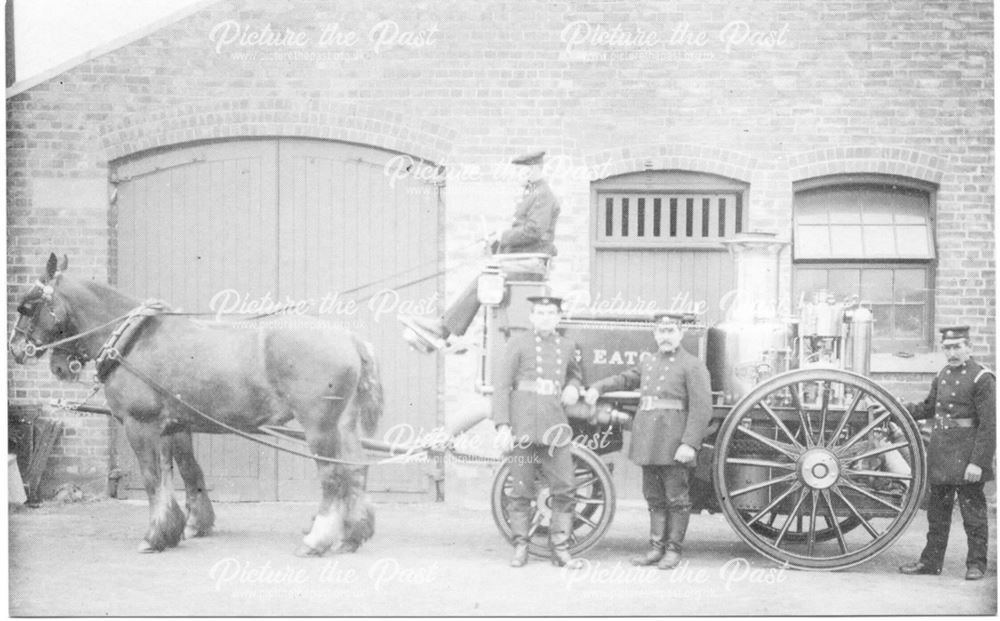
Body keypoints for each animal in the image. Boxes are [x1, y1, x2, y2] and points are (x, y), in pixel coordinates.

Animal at [9, 254, 384, 556]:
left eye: (27, 306)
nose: (15, 349)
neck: (132, 341)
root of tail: (350, 339)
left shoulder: (139, 426)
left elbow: (152, 479)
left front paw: (154, 536)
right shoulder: (170, 428)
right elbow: (179, 473)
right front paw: (177, 528)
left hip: (319, 426)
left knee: (333, 475)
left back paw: (316, 541)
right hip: (343, 426)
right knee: (355, 468)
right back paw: (352, 535)